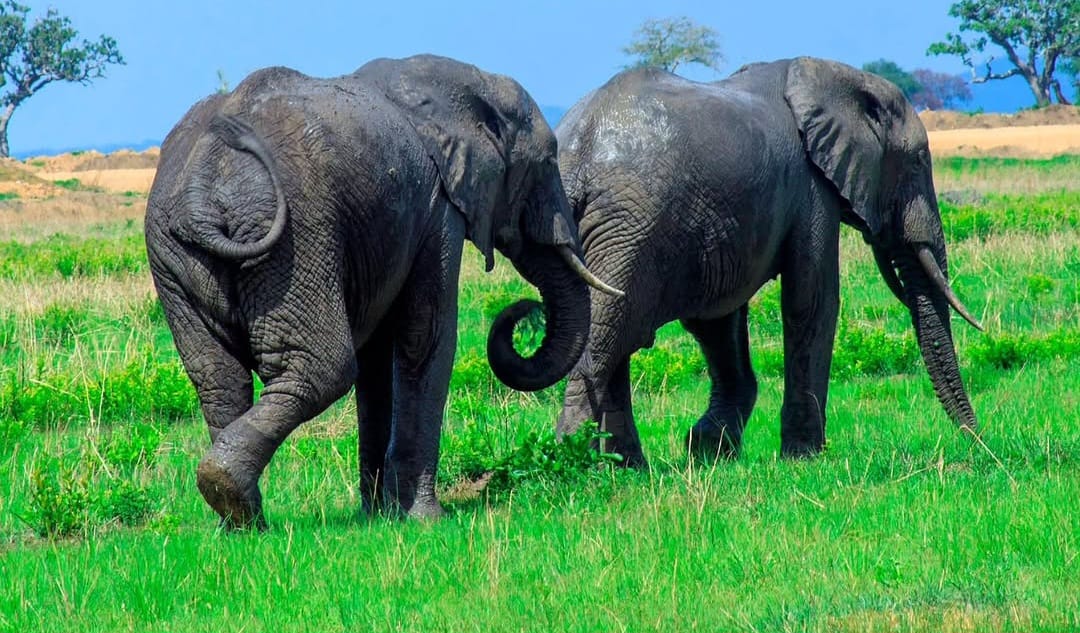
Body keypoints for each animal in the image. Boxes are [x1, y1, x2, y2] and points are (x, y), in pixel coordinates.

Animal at [145, 54, 620, 528]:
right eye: (548, 161)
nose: (524, 309)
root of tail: (205, 178)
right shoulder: (437, 209)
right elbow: (426, 336)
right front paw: (427, 520)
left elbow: (377, 358)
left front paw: (380, 515)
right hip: (294, 237)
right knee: (322, 368)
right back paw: (229, 492)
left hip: (174, 257)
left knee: (218, 377)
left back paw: (241, 522)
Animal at [554, 57, 982, 466]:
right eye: (919, 160)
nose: (977, 440)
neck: (834, 76)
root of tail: (577, 154)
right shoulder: (811, 188)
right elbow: (812, 301)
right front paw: (804, 457)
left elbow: (717, 320)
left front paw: (708, 449)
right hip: (631, 227)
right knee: (607, 337)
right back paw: (575, 462)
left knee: (615, 336)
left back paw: (624, 466)